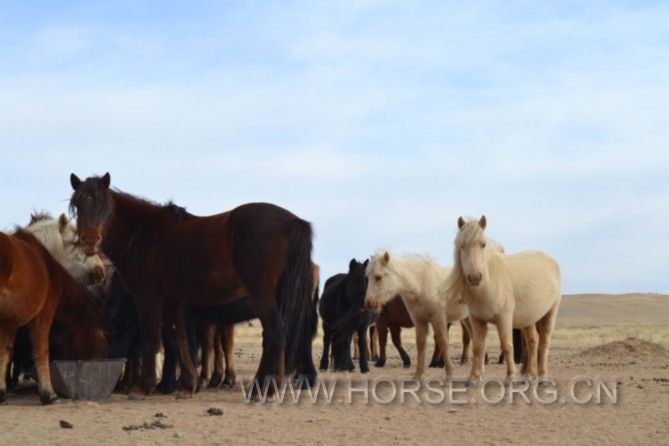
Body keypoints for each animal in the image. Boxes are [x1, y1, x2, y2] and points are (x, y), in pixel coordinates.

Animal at [0, 230, 106, 404]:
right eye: (103, 336)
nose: (99, 364)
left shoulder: (10, 322)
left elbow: (5, 352)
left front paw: (2, 390)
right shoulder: (43, 315)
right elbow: (42, 351)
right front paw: (48, 394)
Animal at [69, 172, 318, 396]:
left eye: (104, 206)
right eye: (78, 205)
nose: (89, 241)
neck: (144, 234)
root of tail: (293, 221)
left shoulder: (148, 297)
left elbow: (153, 338)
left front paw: (144, 386)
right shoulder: (173, 300)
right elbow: (179, 338)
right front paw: (187, 385)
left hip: (261, 293)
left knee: (275, 331)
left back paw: (264, 389)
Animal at [362, 251, 468, 380]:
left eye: (378, 277)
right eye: (367, 277)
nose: (369, 303)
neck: (422, 285)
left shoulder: (438, 319)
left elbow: (442, 342)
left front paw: (449, 374)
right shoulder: (418, 321)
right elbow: (419, 344)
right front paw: (417, 375)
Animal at [444, 216, 560, 384]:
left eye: (483, 244)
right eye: (462, 246)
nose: (475, 277)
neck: (489, 283)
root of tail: (551, 260)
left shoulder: (504, 318)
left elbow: (507, 345)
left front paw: (511, 376)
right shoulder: (477, 320)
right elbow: (478, 347)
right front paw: (473, 377)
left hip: (550, 313)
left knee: (544, 342)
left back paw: (543, 377)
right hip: (528, 318)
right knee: (533, 341)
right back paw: (528, 375)